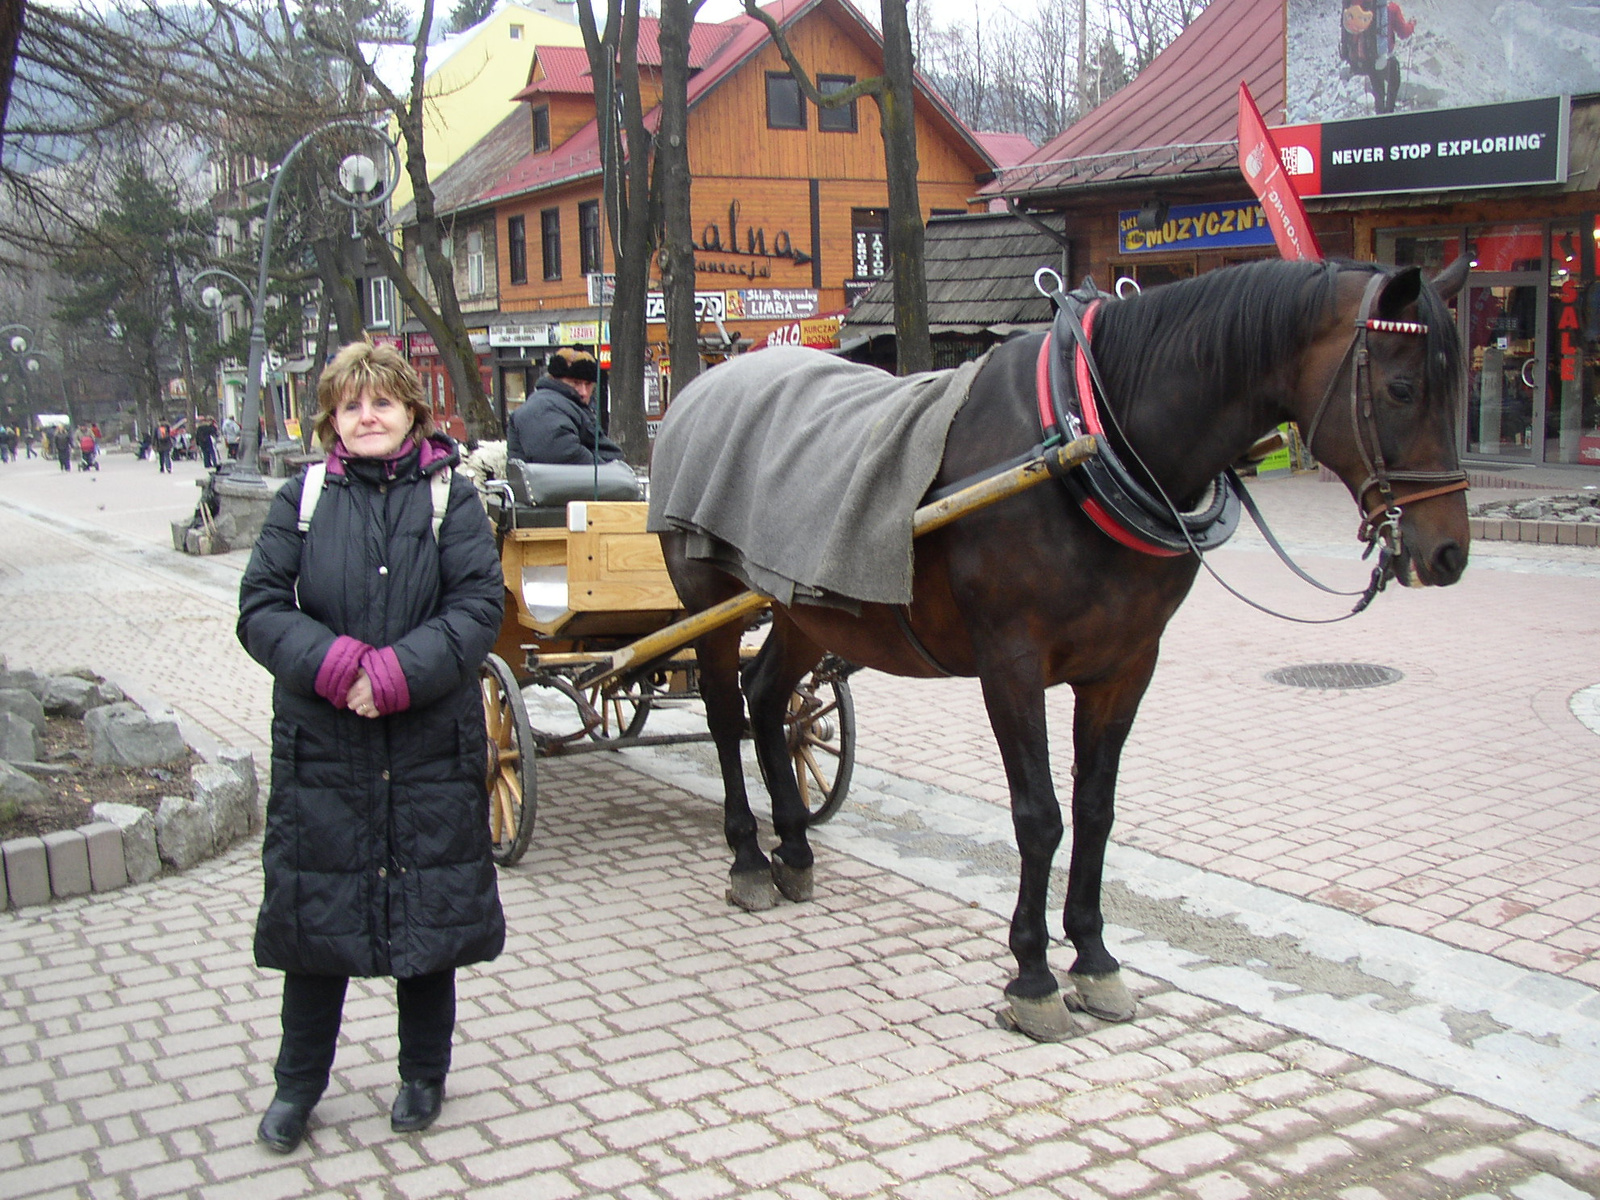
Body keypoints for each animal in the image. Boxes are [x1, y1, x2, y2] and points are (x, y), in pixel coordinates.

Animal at [656, 256, 1465, 1043]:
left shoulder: (1126, 665)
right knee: (726, 714)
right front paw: (1033, 977)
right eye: (1400, 387)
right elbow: (1040, 816)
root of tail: (697, 390)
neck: (1086, 441)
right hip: (709, 605)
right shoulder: (1011, 666)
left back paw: (793, 848)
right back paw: (748, 856)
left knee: (768, 696)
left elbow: (1096, 809)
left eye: (1454, 387)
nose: (1449, 554)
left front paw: (1097, 960)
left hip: (802, 604)